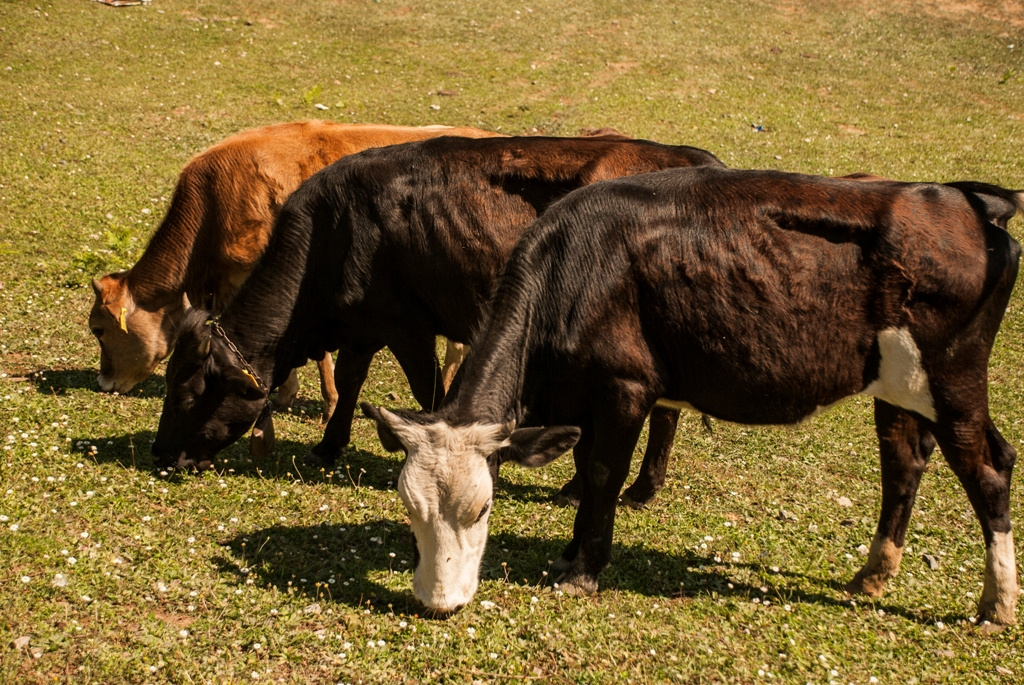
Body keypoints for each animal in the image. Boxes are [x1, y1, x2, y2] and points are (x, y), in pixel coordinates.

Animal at [151, 132, 724, 511]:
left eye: (186, 392)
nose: (159, 454)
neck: (329, 232)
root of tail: (696, 160)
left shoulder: (408, 327)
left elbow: (427, 390)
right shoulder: (365, 323)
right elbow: (353, 380)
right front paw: (329, 446)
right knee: (666, 413)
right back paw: (637, 489)